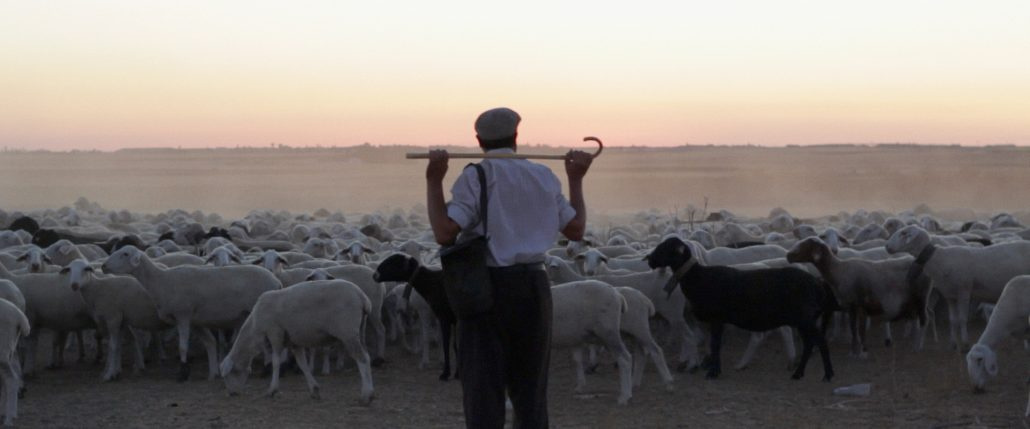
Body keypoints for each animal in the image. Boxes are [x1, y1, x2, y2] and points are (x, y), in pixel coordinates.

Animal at [100, 245, 282, 378]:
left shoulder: (183, 315)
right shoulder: (195, 321)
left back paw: (267, 369)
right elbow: (209, 342)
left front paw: (183, 372)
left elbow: (182, 347)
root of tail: (276, 281)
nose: (103, 266)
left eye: (125, 254)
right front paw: (213, 372)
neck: (161, 281)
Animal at [221, 279, 374, 403]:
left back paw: (366, 395)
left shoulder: (275, 333)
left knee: (362, 358)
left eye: (230, 374)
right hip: (359, 330)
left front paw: (272, 390)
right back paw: (369, 393)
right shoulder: (294, 342)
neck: (254, 327)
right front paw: (314, 390)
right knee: (367, 356)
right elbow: (302, 364)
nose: (232, 393)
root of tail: (362, 298)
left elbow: (275, 362)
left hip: (348, 332)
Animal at [650, 235, 836, 378]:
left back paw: (827, 374)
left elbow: (715, 344)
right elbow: (712, 343)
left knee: (819, 340)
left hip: (805, 318)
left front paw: (713, 372)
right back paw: (798, 373)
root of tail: (816, 283)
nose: (649, 260)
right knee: (809, 343)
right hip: (802, 320)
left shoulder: (716, 318)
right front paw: (711, 367)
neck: (698, 276)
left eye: (665, 248)